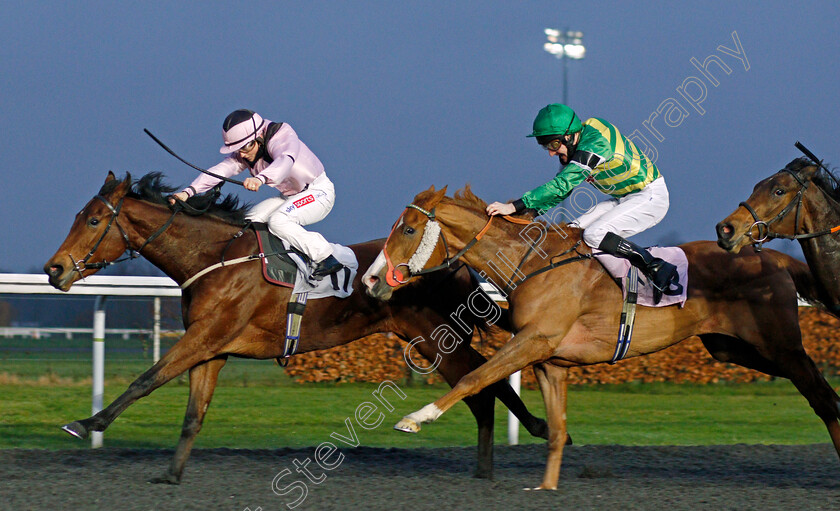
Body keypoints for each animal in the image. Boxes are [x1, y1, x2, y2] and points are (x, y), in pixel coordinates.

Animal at [44, 172, 552, 484]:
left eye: (94, 219)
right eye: (77, 216)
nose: (54, 269)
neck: (216, 258)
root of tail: (456, 261)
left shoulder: (205, 336)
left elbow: (146, 379)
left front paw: (86, 423)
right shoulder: (213, 348)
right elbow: (193, 415)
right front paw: (171, 473)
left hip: (435, 336)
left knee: (483, 382)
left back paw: (520, 438)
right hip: (429, 338)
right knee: (484, 381)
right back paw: (500, 455)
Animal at [364, 185, 840, 492]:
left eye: (408, 230)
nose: (371, 280)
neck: (530, 264)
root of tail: (772, 254)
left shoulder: (535, 340)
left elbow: (473, 378)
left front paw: (415, 418)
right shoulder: (549, 361)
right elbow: (556, 431)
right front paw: (546, 488)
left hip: (781, 346)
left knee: (821, 395)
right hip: (735, 348)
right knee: (822, 393)